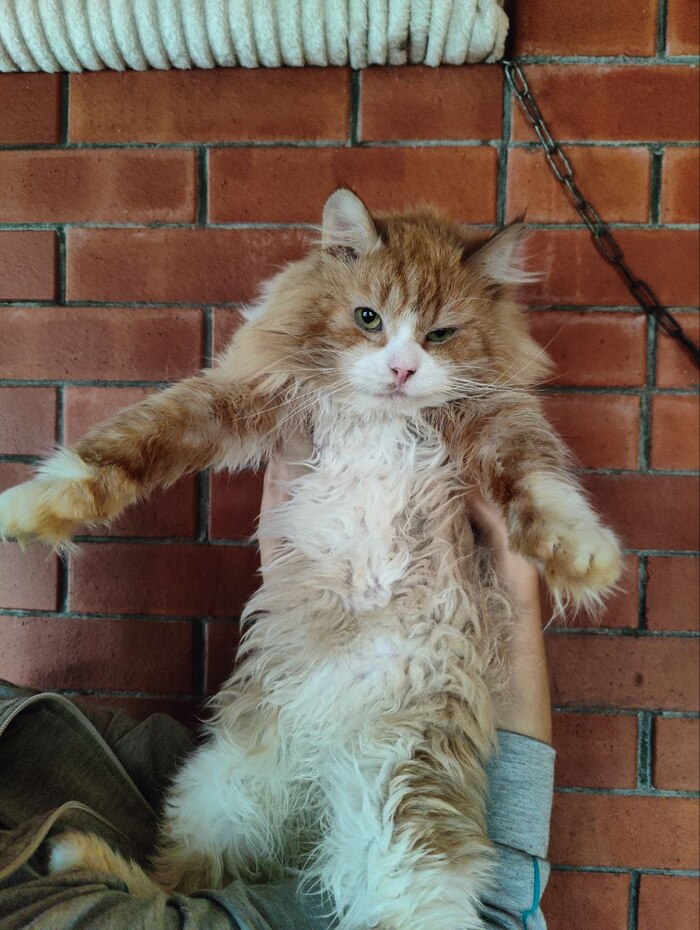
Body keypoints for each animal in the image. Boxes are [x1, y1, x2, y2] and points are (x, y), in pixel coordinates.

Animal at [0, 189, 621, 930]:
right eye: (367, 318)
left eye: (440, 335)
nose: (402, 369)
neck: (380, 419)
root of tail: (315, 787)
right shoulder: (240, 397)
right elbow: (125, 446)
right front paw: (30, 508)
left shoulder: (499, 423)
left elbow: (543, 485)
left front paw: (583, 558)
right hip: (217, 791)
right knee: (173, 884)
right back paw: (71, 850)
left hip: (402, 828)